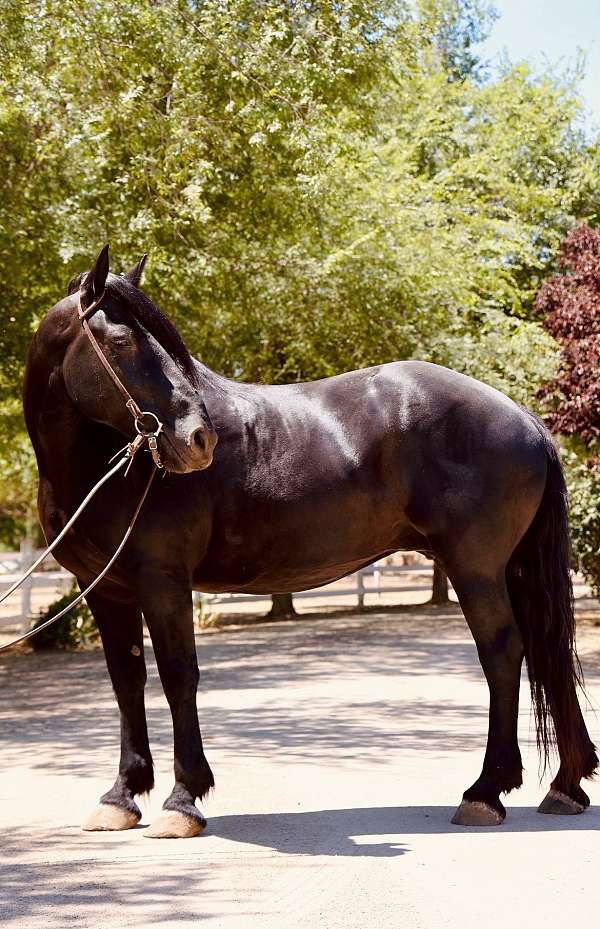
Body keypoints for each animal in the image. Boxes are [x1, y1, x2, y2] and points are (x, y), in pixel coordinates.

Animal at [22, 245, 596, 832]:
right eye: (121, 341)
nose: (198, 439)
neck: (102, 469)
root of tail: (522, 417)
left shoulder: (163, 582)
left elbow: (179, 675)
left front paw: (183, 800)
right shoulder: (104, 589)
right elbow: (126, 680)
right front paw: (121, 796)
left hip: (475, 568)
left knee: (502, 652)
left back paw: (485, 791)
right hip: (508, 569)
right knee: (542, 646)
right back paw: (564, 787)